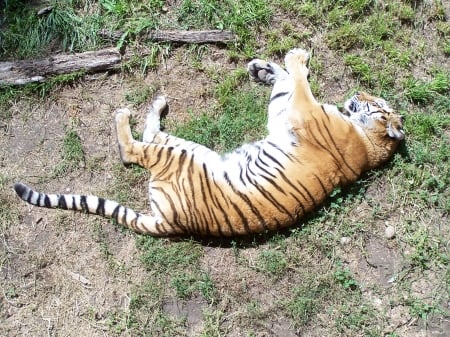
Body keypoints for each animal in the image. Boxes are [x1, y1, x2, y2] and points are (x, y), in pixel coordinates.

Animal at [13, 48, 404, 236]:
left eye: (377, 103)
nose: (359, 93)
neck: (365, 138)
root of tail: (169, 222)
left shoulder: (303, 112)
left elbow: (298, 80)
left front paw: (295, 56)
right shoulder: (286, 112)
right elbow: (285, 84)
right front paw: (262, 68)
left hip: (176, 155)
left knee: (133, 149)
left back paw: (127, 114)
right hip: (187, 148)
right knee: (149, 135)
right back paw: (157, 103)